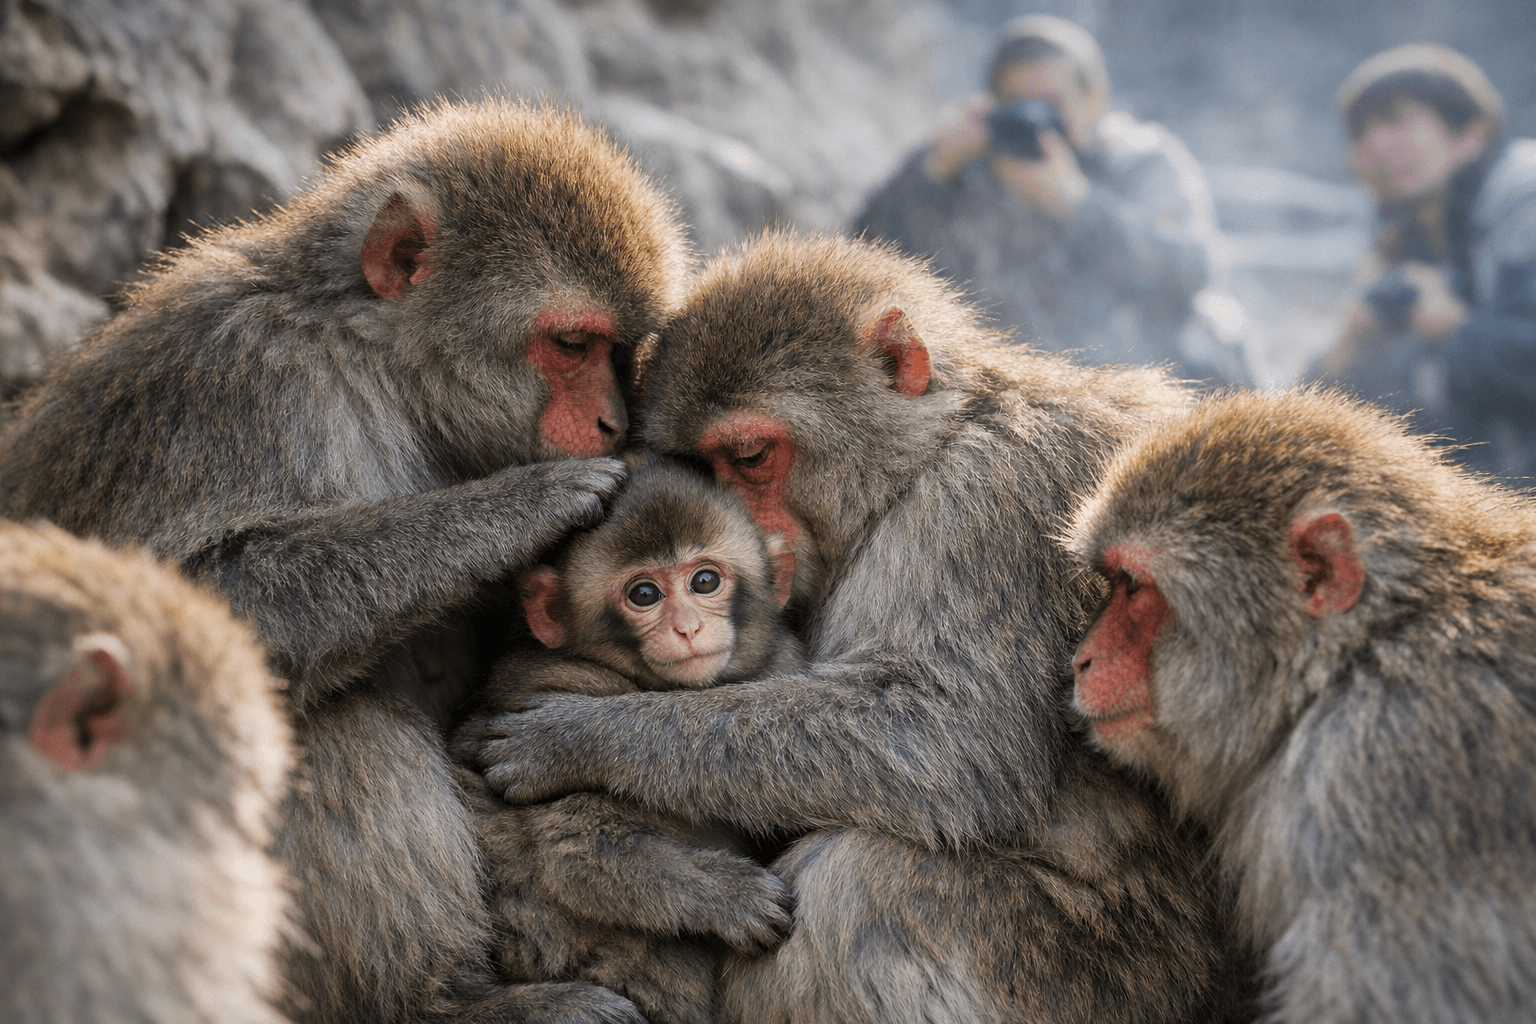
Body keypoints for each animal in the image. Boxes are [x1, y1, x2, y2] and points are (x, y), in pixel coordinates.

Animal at [452, 453, 803, 1024]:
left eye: (705, 581)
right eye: (644, 594)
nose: (687, 628)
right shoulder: (557, 684)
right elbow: (579, 852)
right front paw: (728, 893)